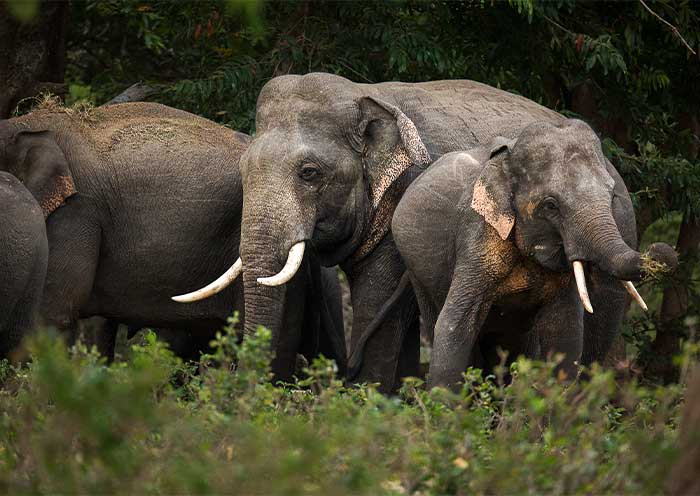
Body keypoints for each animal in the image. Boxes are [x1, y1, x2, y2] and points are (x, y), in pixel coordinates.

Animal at [390, 120, 677, 388]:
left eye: (611, 196)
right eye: (550, 205)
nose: (661, 250)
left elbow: (565, 333)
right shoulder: (477, 233)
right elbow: (455, 323)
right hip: (417, 272)